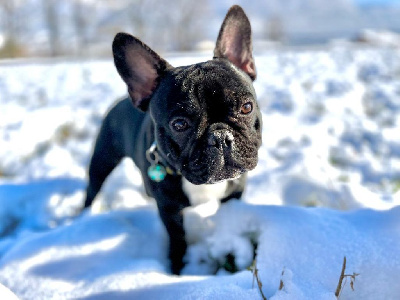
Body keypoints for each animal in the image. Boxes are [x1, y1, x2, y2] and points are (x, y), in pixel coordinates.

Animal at [83, 5, 260, 274]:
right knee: (92, 189)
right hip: (102, 162)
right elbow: (178, 239)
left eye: (247, 107)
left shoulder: (234, 194)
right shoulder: (169, 211)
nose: (220, 137)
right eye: (179, 125)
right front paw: (177, 268)